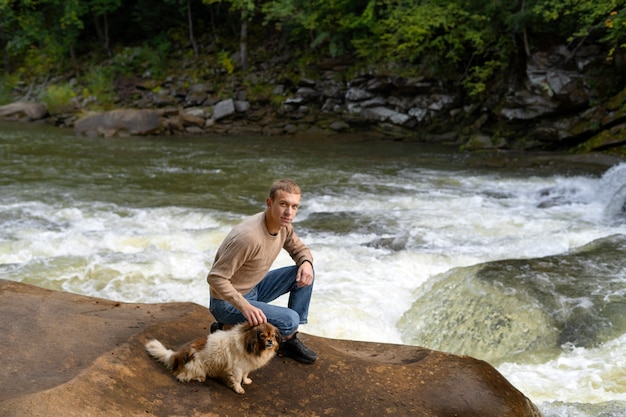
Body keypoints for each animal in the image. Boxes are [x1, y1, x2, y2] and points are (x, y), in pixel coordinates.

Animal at [145, 322, 280, 394]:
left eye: (273, 336)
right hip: (197, 367)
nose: (270, 341)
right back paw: (199, 378)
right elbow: (237, 379)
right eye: (262, 336)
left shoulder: (246, 365)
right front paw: (239, 389)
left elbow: (245, 375)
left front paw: (246, 381)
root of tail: (178, 354)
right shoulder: (237, 368)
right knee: (182, 376)